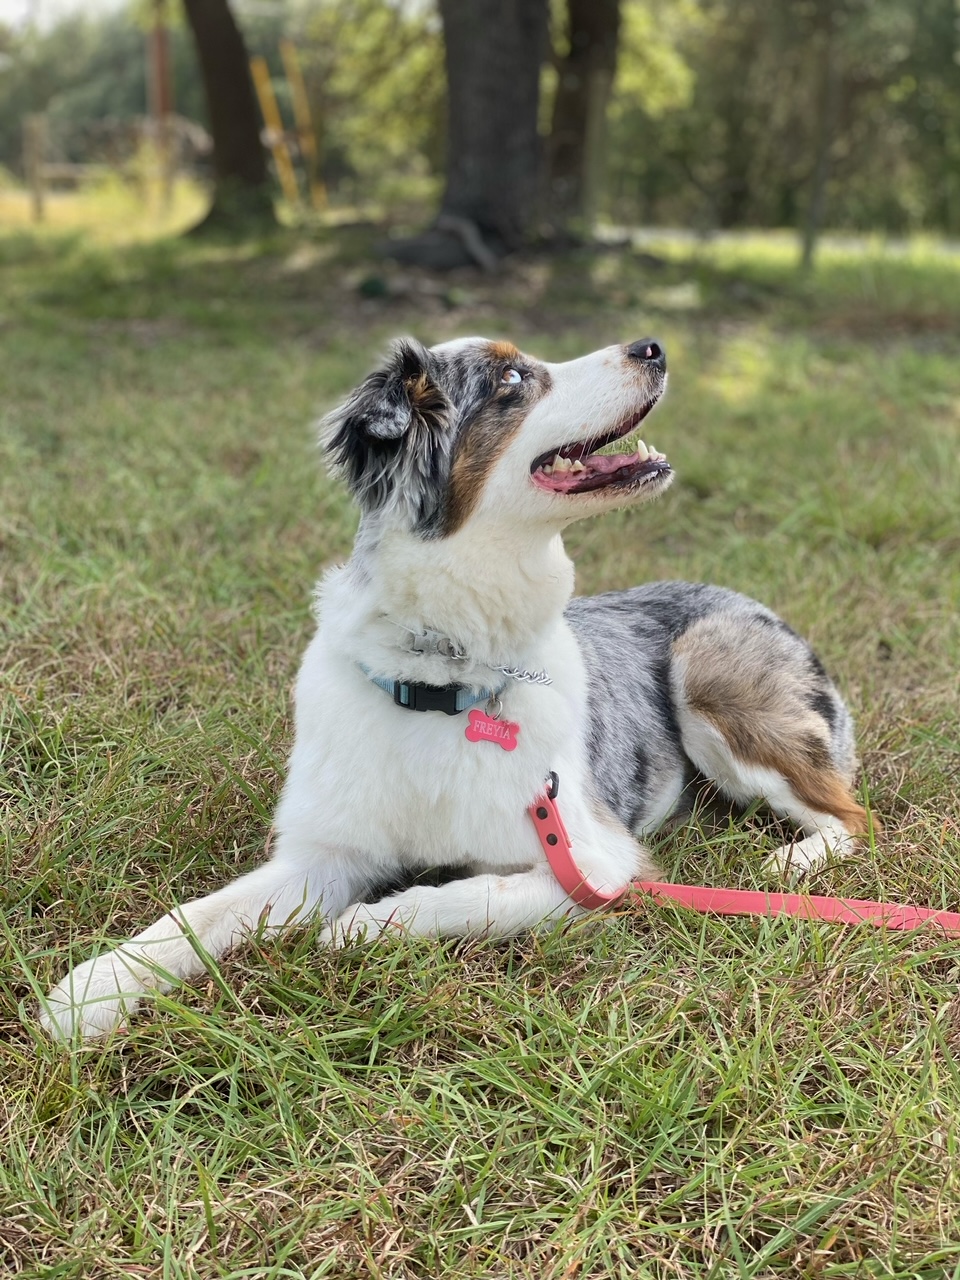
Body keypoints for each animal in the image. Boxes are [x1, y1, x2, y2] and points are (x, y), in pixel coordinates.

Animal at [39, 337, 870, 1039]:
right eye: (512, 380)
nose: (653, 346)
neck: (440, 680)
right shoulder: (323, 854)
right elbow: (197, 915)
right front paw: (94, 989)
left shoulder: (595, 863)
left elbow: (467, 897)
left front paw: (364, 925)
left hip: (708, 670)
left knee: (851, 817)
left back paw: (792, 866)